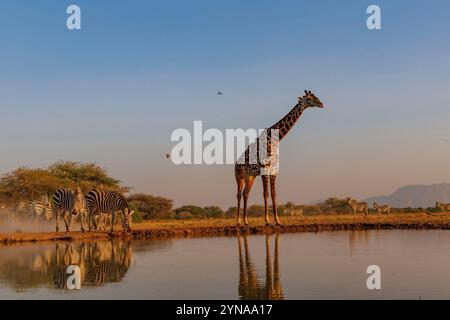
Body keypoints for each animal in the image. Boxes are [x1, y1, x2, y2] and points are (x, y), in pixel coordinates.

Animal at [236, 90, 324, 225]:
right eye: (309, 99)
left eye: (315, 96)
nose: (321, 104)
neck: (275, 139)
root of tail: (235, 163)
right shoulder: (265, 169)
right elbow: (266, 193)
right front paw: (267, 220)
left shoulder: (273, 171)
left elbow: (273, 194)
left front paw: (277, 220)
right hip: (239, 175)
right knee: (239, 194)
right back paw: (238, 221)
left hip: (250, 176)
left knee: (246, 193)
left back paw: (246, 221)